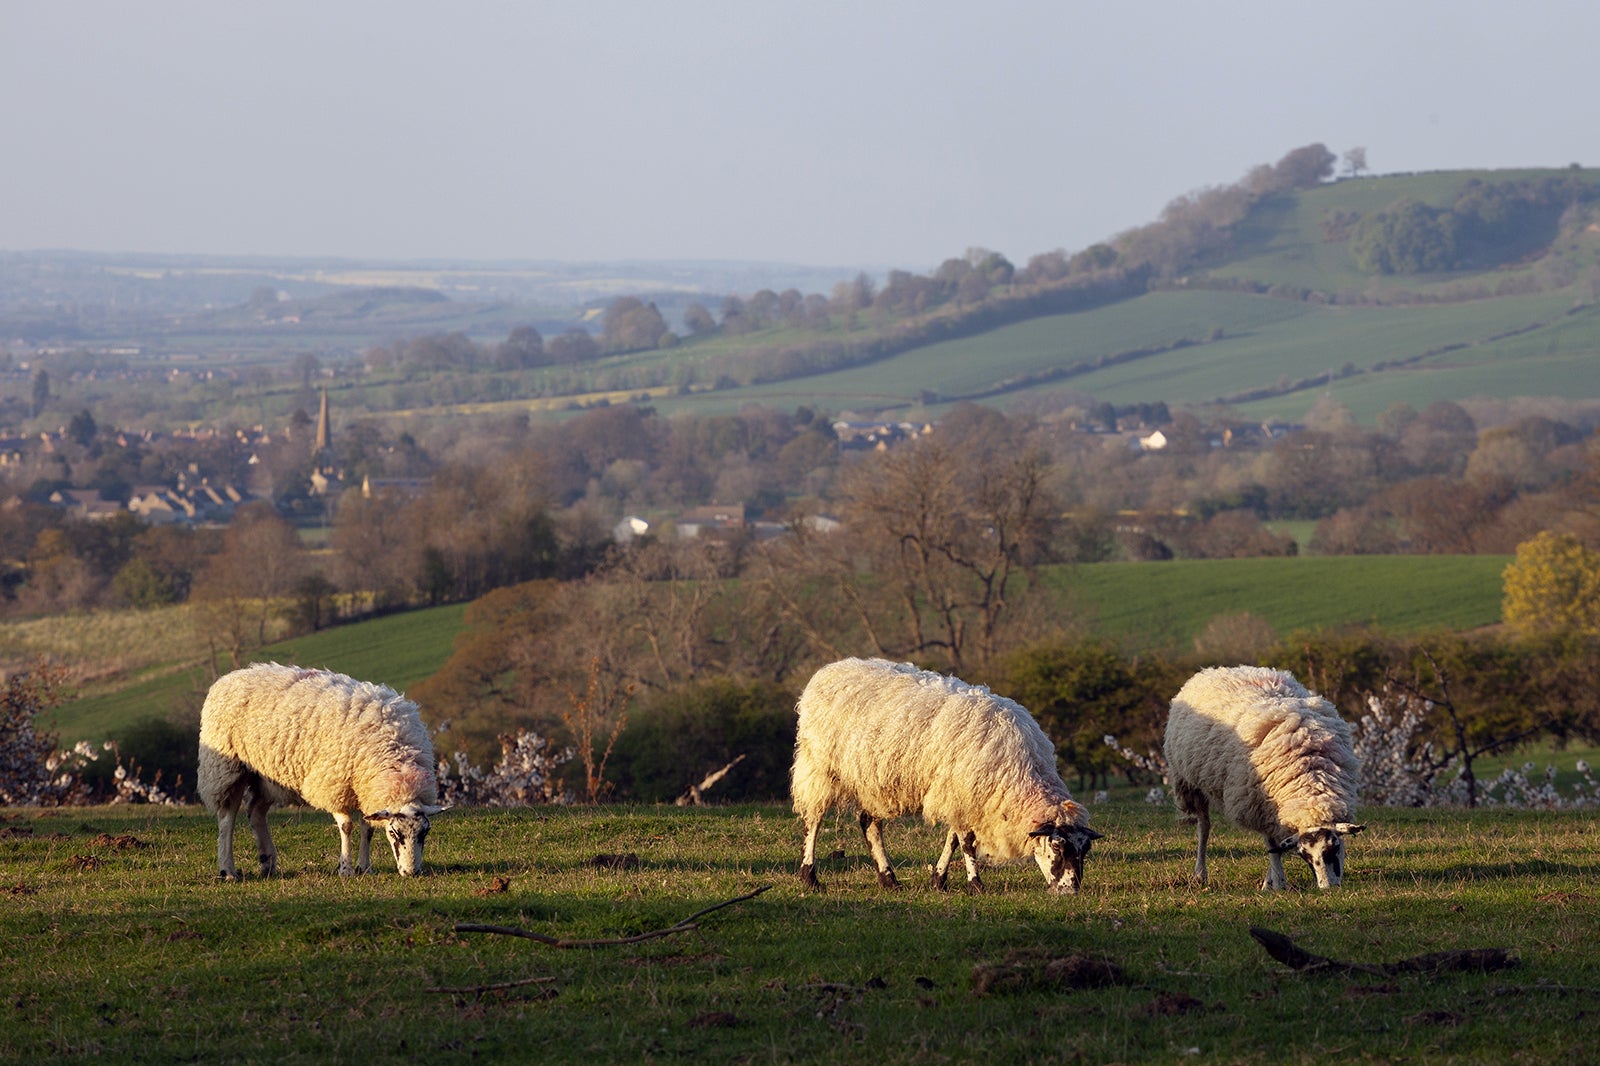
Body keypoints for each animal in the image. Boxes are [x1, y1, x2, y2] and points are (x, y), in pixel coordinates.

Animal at [203, 659, 451, 877]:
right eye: (394, 833)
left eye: (425, 833)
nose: (411, 872)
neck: (397, 757)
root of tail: (231, 676)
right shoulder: (334, 784)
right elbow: (347, 826)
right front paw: (346, 869)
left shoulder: (364, 788)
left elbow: (367, 828)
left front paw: (365, 867)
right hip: (226, 769)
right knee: (227, 818)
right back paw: (228, 870)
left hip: (269, 777)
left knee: (255, 811)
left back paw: (268, 863)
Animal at [790, 656, 1100, 889]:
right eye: (1057, 846)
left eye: (1084, 850)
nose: (1071, 890)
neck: (1022, 771)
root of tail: (832, 668)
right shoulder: (961, 793)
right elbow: (966, 842)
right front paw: (975, 884)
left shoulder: (962, 795)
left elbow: (953, 839)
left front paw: (939, 879)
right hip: (819, 767)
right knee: (814, 820)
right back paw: (810, 876)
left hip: (873, 780)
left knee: (869, 824)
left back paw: (889, 879)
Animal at [1164, 665, 1363, 889]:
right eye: (1305, 856)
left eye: (1335, 847)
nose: (1328, 887)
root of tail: (1213, 670)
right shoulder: (1259, 804)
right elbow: (1272, 844)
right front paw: (1279, 883)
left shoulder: (1275, 810)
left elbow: (1277, 845)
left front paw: (1269, 882)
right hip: (1190, 784)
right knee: (1203, 828)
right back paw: (1200, 873)